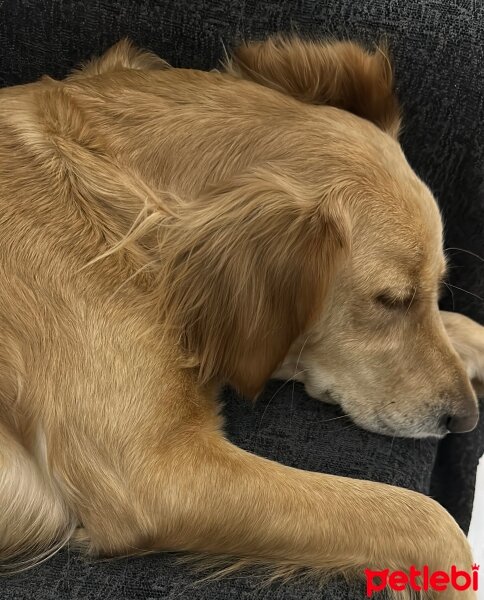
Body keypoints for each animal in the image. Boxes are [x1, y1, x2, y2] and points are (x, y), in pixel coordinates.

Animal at [0, 36, 484, 596]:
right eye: (390, 300)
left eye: (429, 290)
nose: (466, 418)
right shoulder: (154, 474)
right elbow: (426, 518)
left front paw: (471, 337)